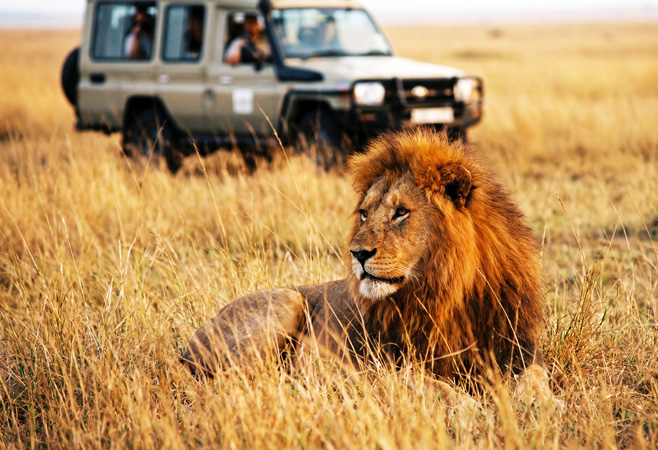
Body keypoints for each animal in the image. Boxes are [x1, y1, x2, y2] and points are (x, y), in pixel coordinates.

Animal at [181, 128, 550, 395]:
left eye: (401, 212)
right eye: (364, 213)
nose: (357, 254)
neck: (447, 292)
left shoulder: (516, 351)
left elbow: (537, 378)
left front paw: (542, 405)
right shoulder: (386, 367)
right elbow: (437, 387)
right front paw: (468, 407)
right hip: (285, 302)